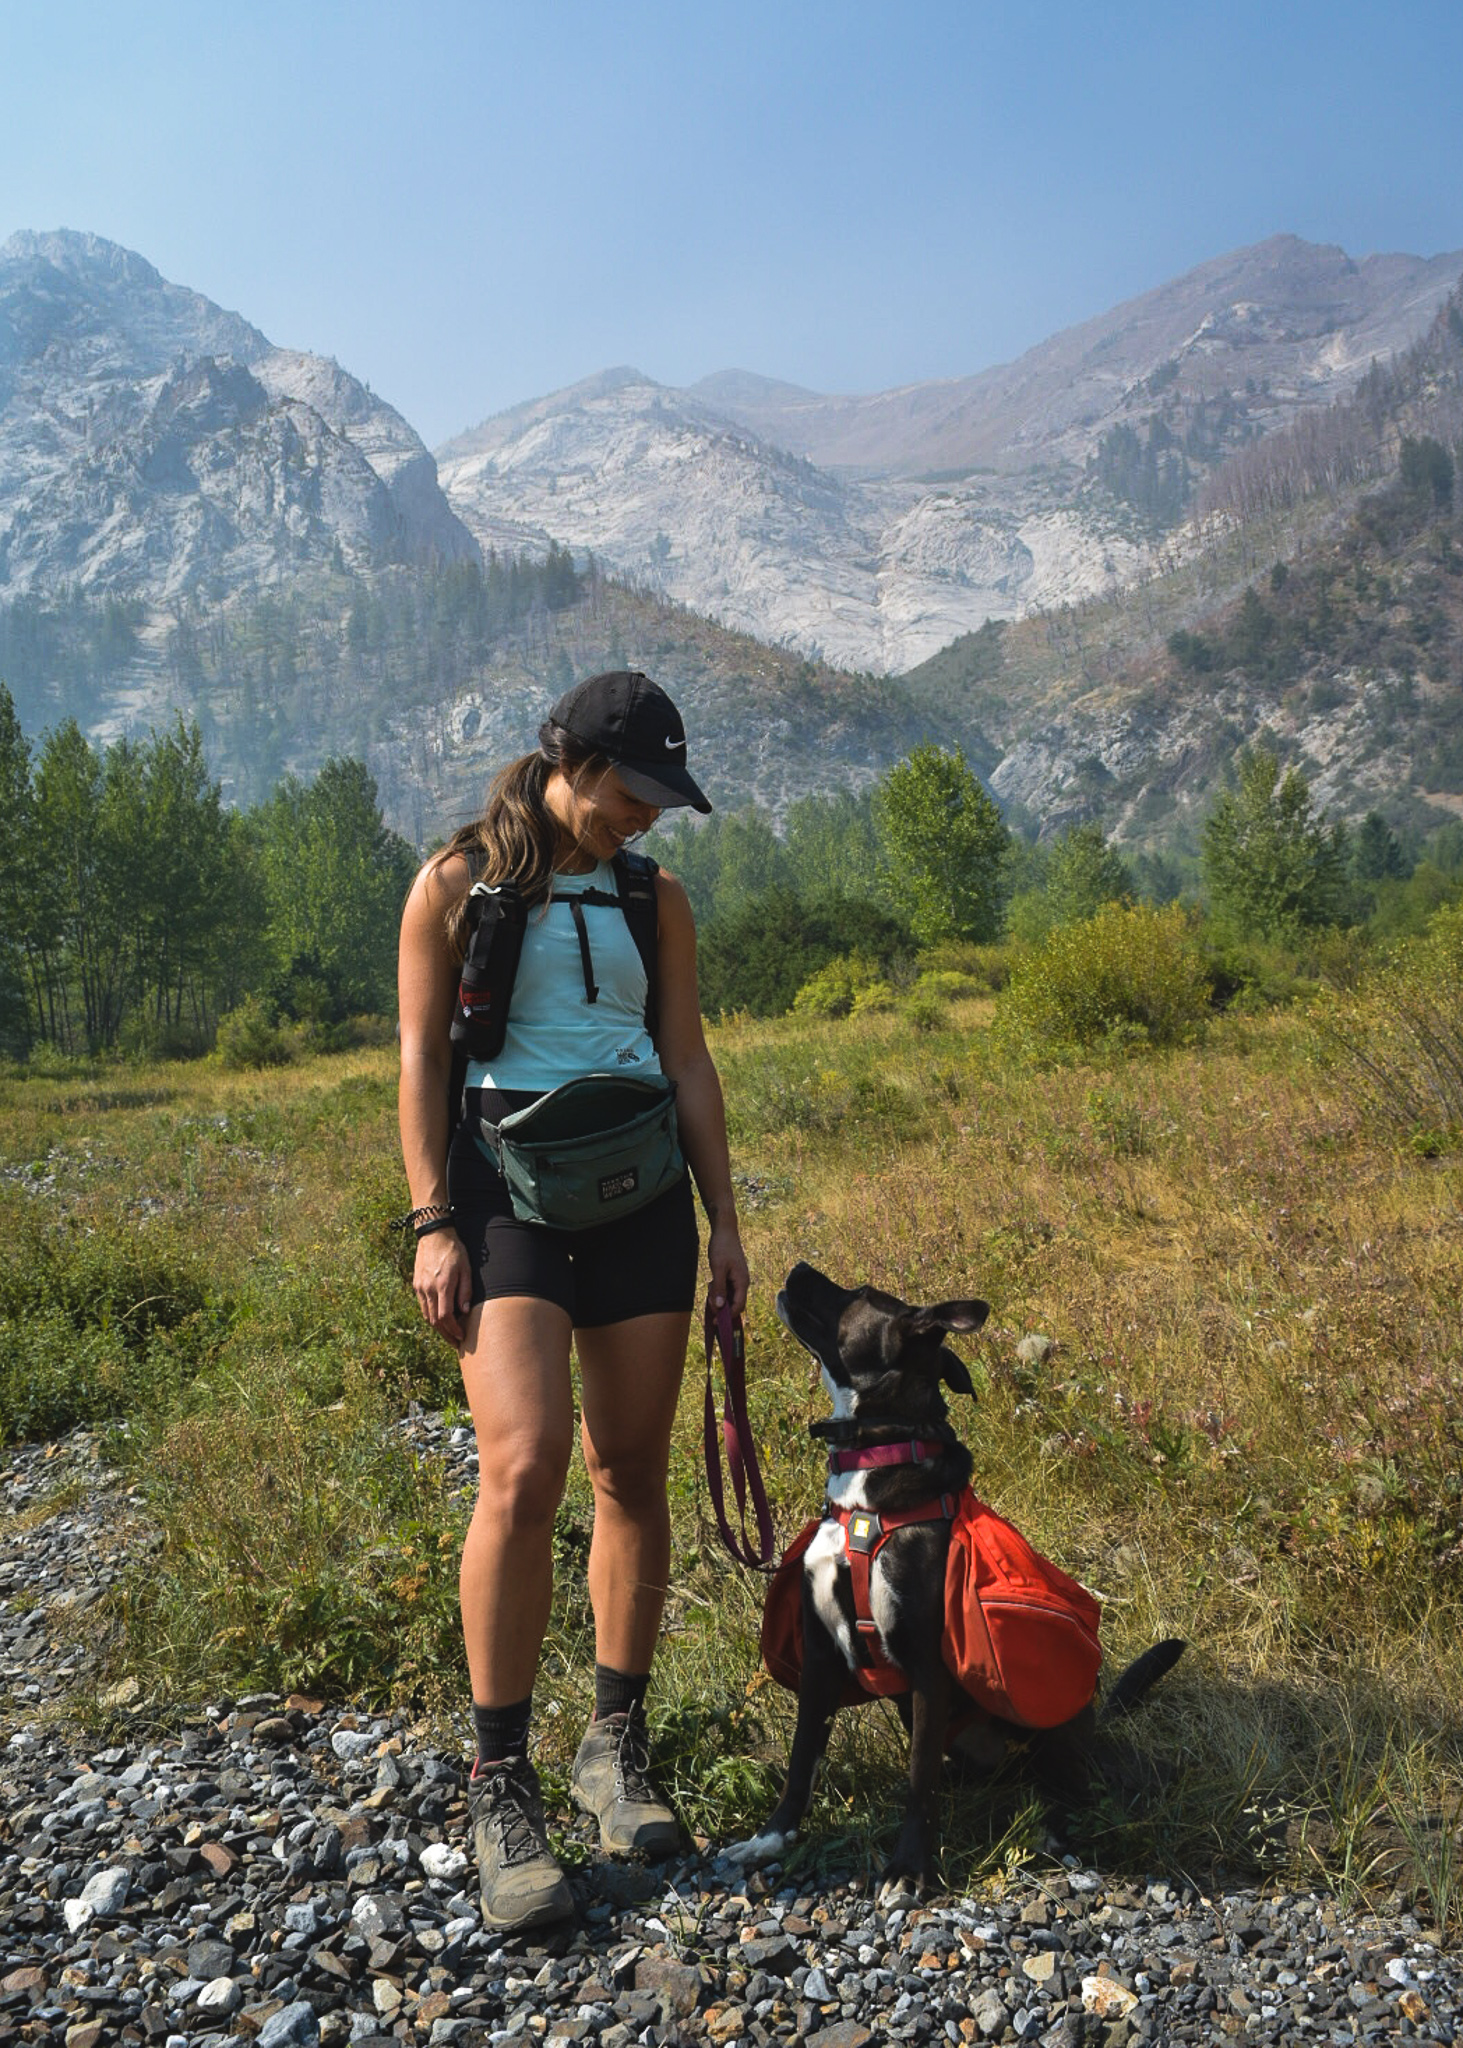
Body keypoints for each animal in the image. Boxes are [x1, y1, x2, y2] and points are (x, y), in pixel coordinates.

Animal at [725, 1261, 1180, 1884]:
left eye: (859, 1295)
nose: (797, 1267)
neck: (870, 1476)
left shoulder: (926, 1664)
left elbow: (920, 1783)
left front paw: (908, 1868)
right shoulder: (819, 1656)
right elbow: (801, 1763)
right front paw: (770, 1841)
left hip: (1053, 1732)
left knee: (1069, 1790)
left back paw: (1056, 1832)